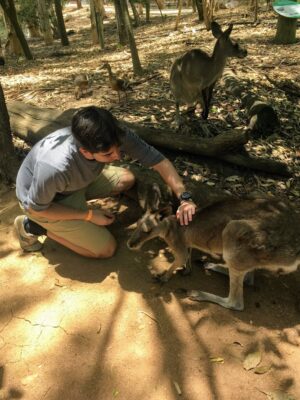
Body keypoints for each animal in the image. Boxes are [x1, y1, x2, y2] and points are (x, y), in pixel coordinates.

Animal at [127, 197, 300, 310]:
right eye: (136, 224)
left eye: (147, 231)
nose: (129, 245)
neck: (171, 226)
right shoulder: (186, 243)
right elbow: (187, 257)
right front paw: (187, 270)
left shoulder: (178, 243)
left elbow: (180, 259)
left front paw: (163, 277)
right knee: (248, 278)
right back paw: (209, 265)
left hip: (236, 233)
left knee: (236, 303)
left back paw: (197, 293)